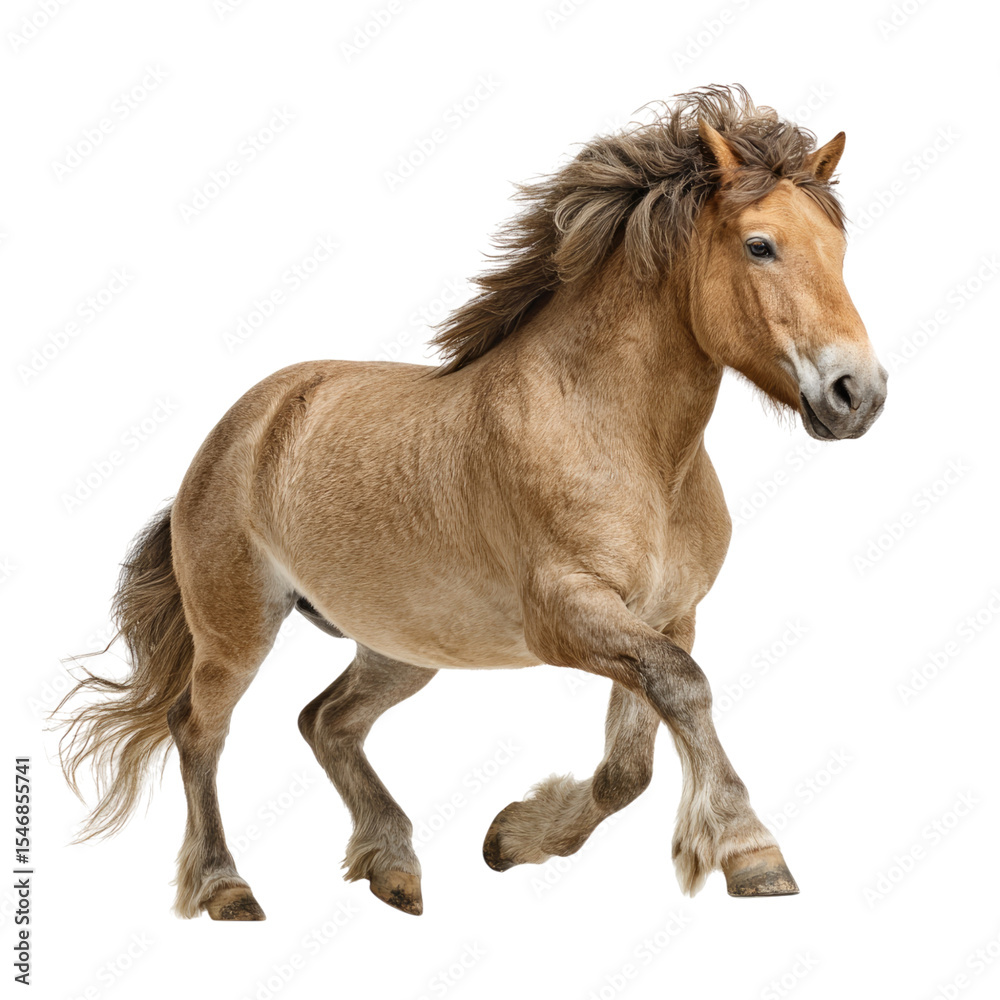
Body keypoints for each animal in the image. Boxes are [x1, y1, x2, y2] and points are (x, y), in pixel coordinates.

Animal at [55, 85, 887, 921]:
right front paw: (753, 854)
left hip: (401, 645)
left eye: (840, 251)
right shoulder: (569, 614)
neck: (628, 445)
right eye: (760, 246)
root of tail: (235, 431)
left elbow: (633, 762)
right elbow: (685, 688)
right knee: (199, 729)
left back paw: (393, 867)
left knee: (325, 721)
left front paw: (513, 838)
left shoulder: (664, 616)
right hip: (238, 630)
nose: (859, 394)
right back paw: (226, 887)